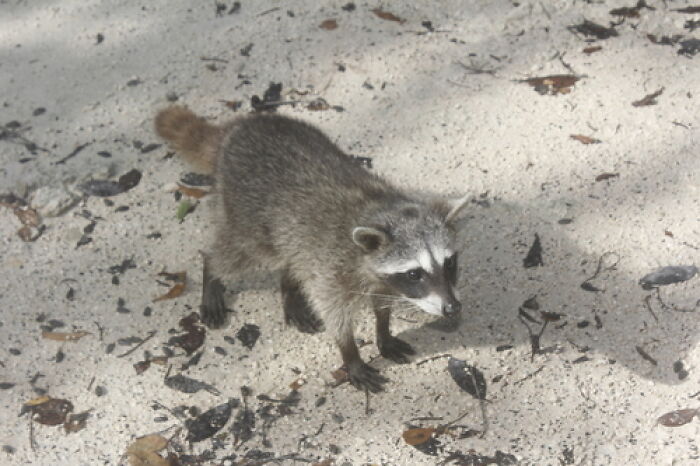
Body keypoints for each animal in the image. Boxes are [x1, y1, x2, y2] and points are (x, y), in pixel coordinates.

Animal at [154, 106, 468, 392]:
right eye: (415, 274)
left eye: (449, 263)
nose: (452, 308)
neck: (380, 210)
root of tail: (235, 129)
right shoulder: (333, 268)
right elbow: (333, 314)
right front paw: (351, 354)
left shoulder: (377, 275)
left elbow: (381, 303)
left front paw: (383, 330)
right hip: (248, 215)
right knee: (236, 254)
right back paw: (212, 274)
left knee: (291, 256)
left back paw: (289, 289)